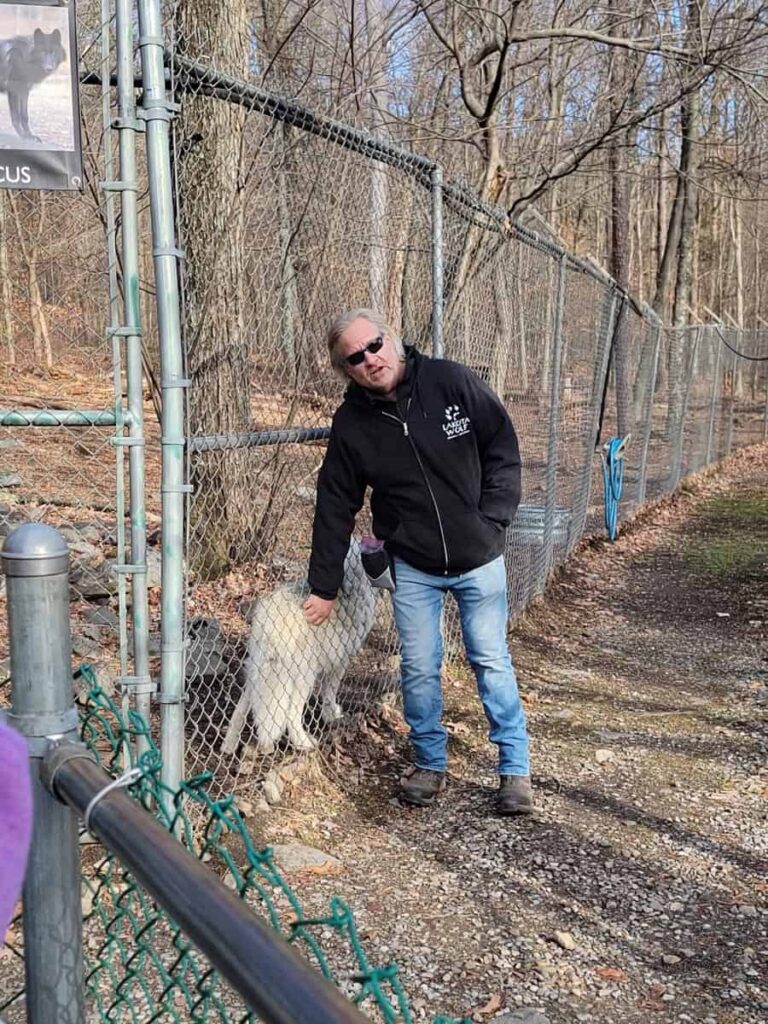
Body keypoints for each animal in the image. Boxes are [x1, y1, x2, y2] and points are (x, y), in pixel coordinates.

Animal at [221, 544, 376, 753]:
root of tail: (272, 625)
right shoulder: (341, 659)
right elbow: (330, 691)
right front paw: (331, 715)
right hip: (304, 678)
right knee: (291, 715)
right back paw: (304, 743)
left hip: (258, 669)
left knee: (243, 706)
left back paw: (229, 745)